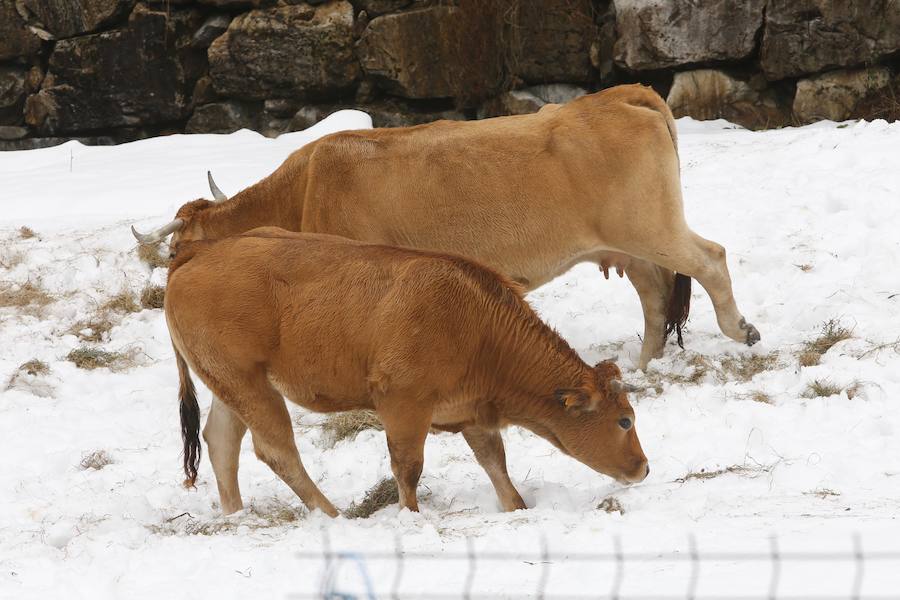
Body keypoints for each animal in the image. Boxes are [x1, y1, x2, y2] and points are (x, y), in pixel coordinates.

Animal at [167, 227, 648, 516]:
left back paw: (235, 514)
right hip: (250, 385)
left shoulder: (472, 413)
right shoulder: (403, 402)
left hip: (232, 385)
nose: (643, 468)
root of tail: (199, 251)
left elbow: (496, 463)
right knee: (275, 450)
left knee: (221, 440)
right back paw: (333, 516)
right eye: (624, 420)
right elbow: (408, 466)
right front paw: (410, 516)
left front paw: (517, 507)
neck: (476, 323)